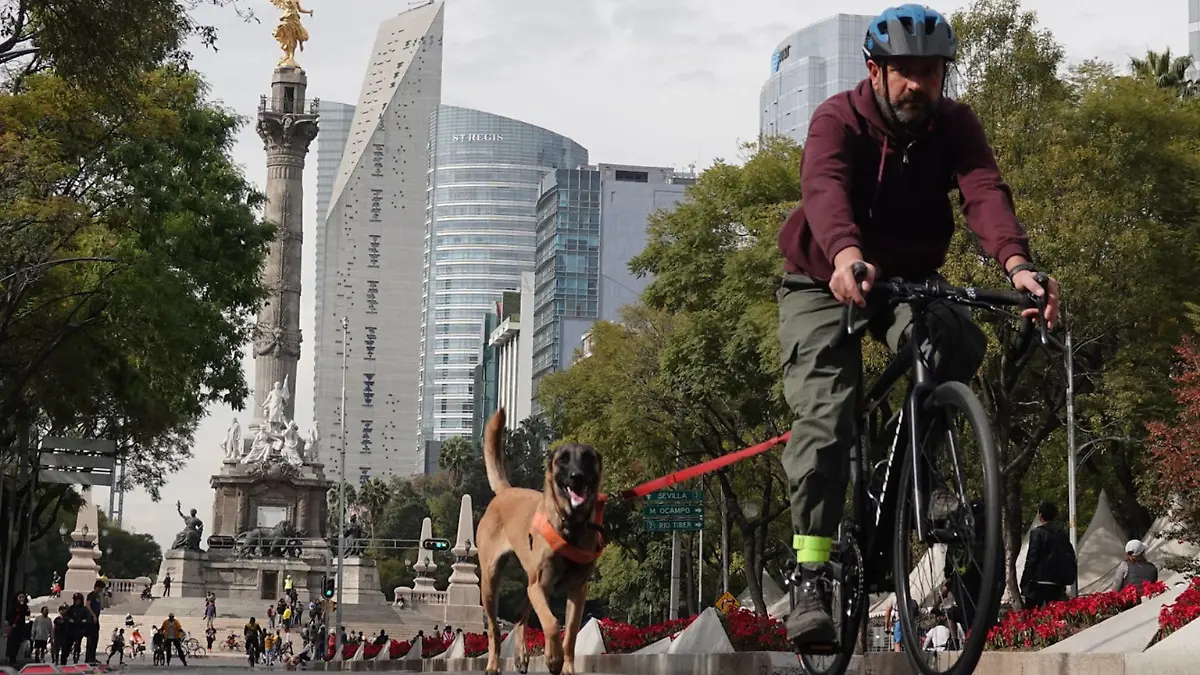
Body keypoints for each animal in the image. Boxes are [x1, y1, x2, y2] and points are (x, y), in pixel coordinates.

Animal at [475, 403, 604, 672]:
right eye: (563, 460)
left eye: (587, 458)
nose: (577, 476)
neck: (570, 526)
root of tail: (506, 491)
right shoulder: (540, 587)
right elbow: (552, 623)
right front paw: (552, 658)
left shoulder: (577, 589)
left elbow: (570, 634)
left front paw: (566, 667)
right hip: (491, 581)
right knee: (493, 628)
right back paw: (493, 664)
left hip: (530, 581)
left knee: (519, 613)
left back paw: (521, 655)